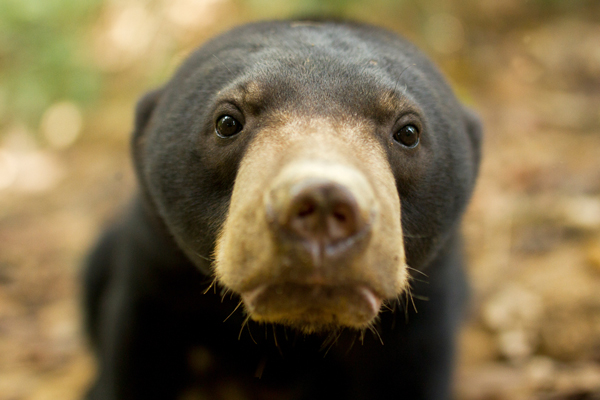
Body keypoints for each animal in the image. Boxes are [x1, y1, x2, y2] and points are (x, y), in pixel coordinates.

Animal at [82, 19, 480, 400]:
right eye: (227, 122)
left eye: (408, 132)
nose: (323, 203)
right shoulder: (155, 268)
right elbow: (138, 356)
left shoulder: (424, 311)